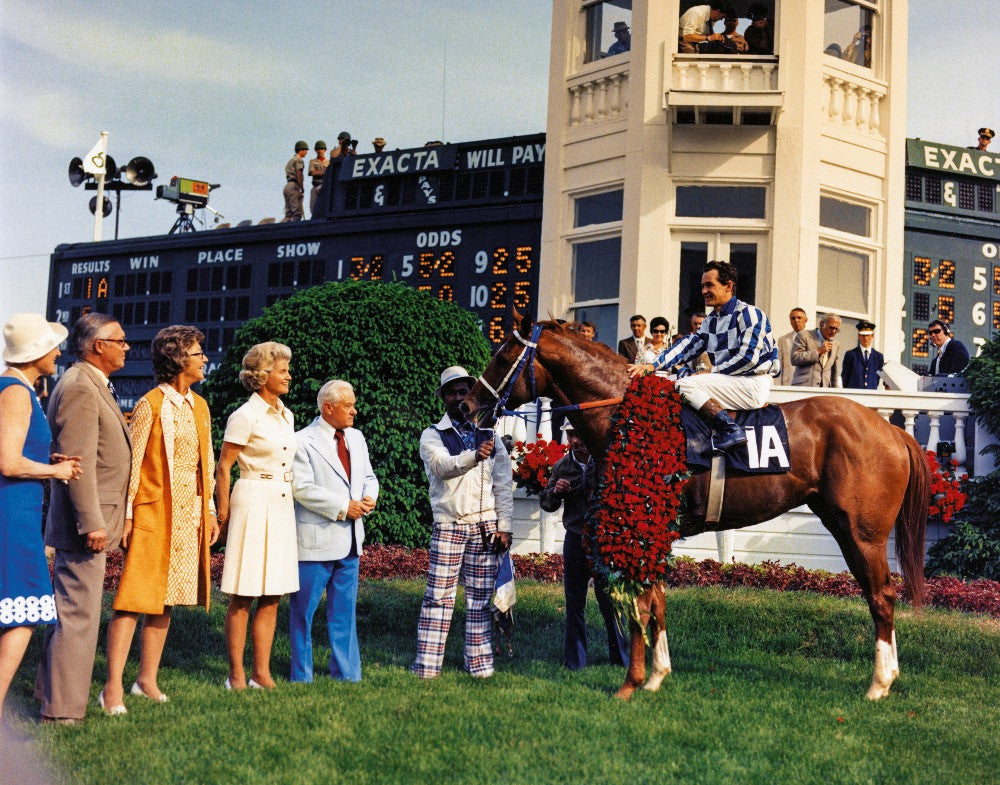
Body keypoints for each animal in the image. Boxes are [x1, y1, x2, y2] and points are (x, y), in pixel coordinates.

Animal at [466, 316, 928, 700]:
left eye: (502, 355)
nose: (469, 407)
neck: (624, 414)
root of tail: (892, 430)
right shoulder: (654, 529)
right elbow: (657, 602)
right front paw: (657, 676)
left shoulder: (639, 527)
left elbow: (640, 607)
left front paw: (630, 684)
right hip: (844, 526)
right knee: (880, 593)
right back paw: (891, 676)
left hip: (862, 532)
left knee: (882, 596)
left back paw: (878, 684)